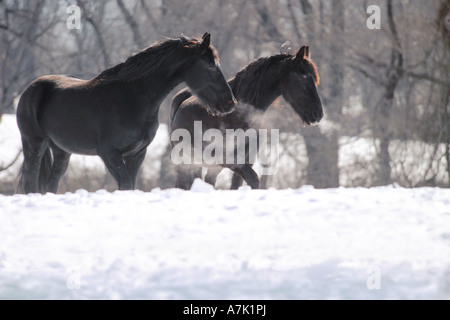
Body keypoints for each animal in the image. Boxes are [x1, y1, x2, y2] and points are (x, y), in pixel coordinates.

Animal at [17, 32, 236, 194]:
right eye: (210, 66)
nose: (229, 103)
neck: (133, 99)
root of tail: (31, 88)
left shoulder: (136, 154)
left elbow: (130, 185)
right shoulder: (109, 154)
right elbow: (125, 184)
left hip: (61, 150)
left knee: (50, 184)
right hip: (34, 143)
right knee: (30, 182)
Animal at [171, 45, 322, 190]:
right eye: (302, 80)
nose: (318, 114)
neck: (236, 115)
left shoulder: (248, 160)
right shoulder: (229, 159)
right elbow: (253, 179)